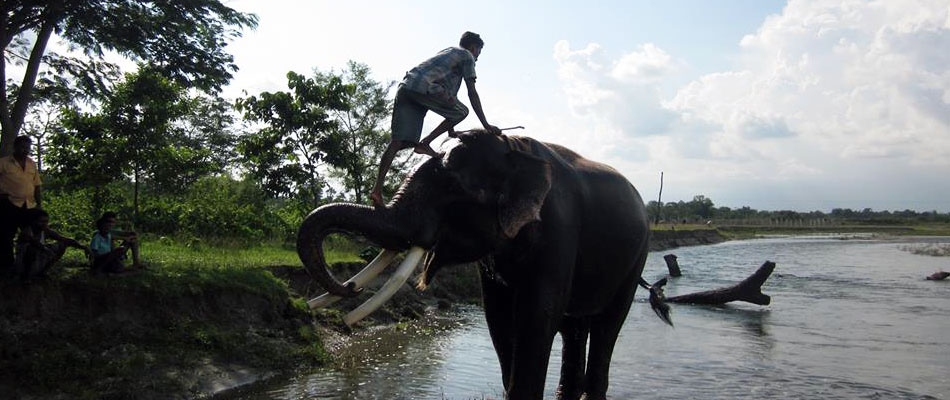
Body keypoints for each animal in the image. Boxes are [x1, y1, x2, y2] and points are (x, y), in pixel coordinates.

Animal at [300, 131, 668, 400]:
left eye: (451, 188)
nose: (348, 286)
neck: (514, 148)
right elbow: (498, 316)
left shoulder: (560, 229)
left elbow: (538, 314)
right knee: (574, 326)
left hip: (638, 255)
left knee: (608, 325)